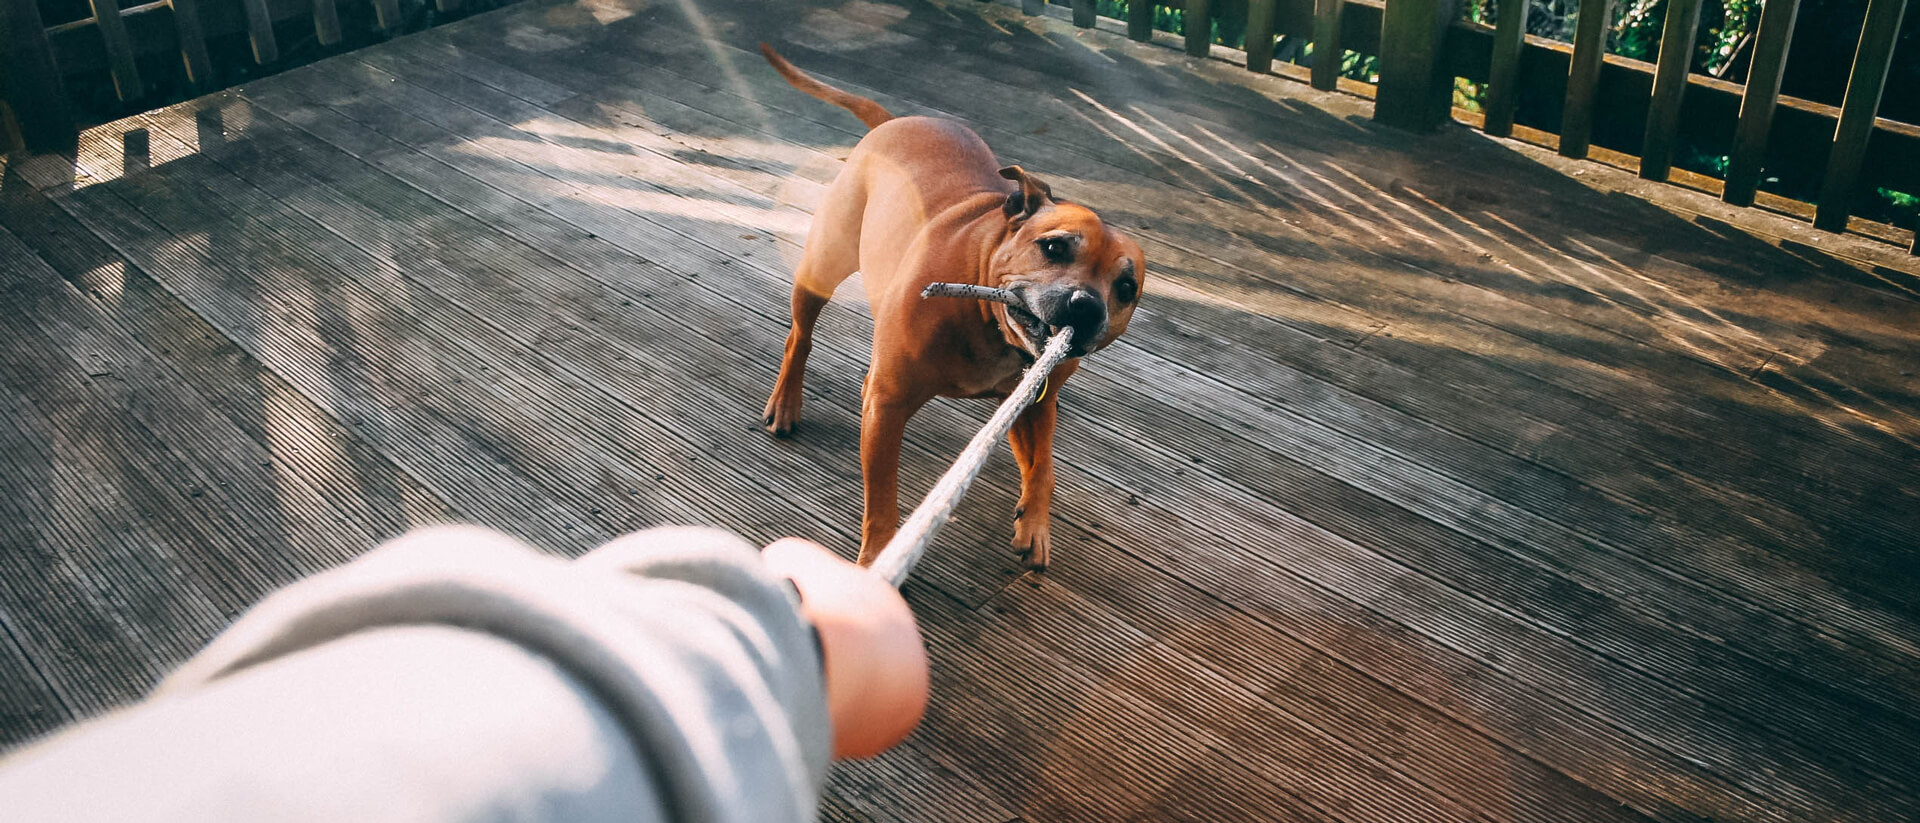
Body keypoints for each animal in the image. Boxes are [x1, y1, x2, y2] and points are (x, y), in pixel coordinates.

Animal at [748, 46, 1136, 571]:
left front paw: (1034, 524)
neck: (992, 328)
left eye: (1127, 287)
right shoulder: (887, 405)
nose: (1085, 307)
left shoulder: (1033, 404)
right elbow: (882, 498)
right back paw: (785, 403)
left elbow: (1044, 466)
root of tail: (894, 121)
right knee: (799, 337)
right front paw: (877, 561)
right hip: (822, 265)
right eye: (1054, 247)